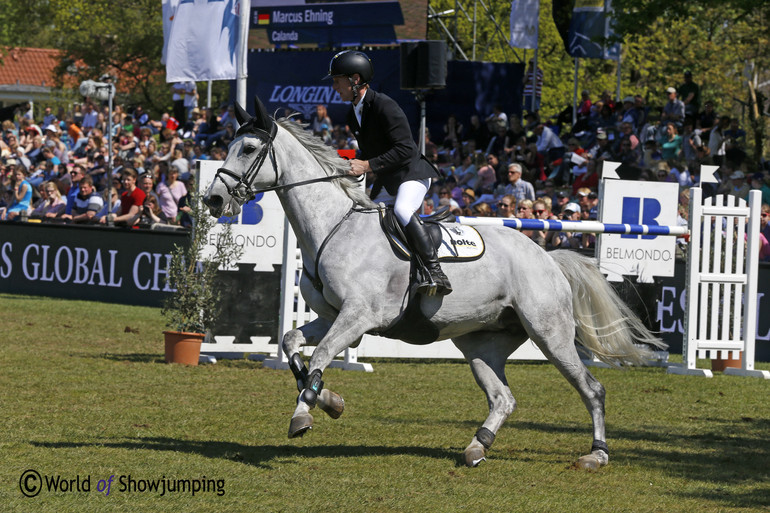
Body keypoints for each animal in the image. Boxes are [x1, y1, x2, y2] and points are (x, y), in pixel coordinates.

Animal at [204, 98, 664, 470]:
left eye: (248, 149)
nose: (212, 200)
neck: (336, 226)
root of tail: (547, 257)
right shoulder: (332, 316)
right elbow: (291, 344)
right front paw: (328, 401)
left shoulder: (358, 317)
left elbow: (318, 355)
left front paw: (304, 414)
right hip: (481, 344)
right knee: (502, 397)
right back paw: (478, 447)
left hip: (549, 333)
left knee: (592, 389)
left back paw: (596, 454)